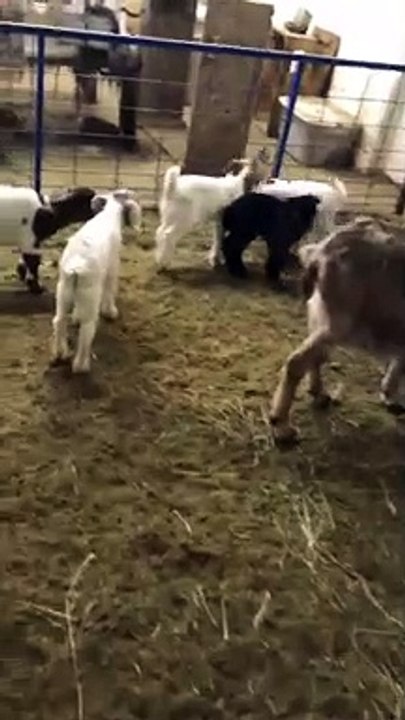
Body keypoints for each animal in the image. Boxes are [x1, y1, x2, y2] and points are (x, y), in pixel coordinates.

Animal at [51, 188, 141, 374]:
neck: (108, 214)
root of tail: (76, 268)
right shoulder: (112, 268)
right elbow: (110, 289)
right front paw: (111, 312)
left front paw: (76, 317)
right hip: (90, 297)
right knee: (87, 330)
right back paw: (81, 366)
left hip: (63, 293)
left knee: (59, 321)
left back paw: (60, 353)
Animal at [270, 216, 405, 444]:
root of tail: (321, 252)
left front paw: (389, 396)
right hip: (338, 323)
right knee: (297, 361)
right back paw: (282, 426)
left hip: (320, 316)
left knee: (315, 357)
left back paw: (319, 394)